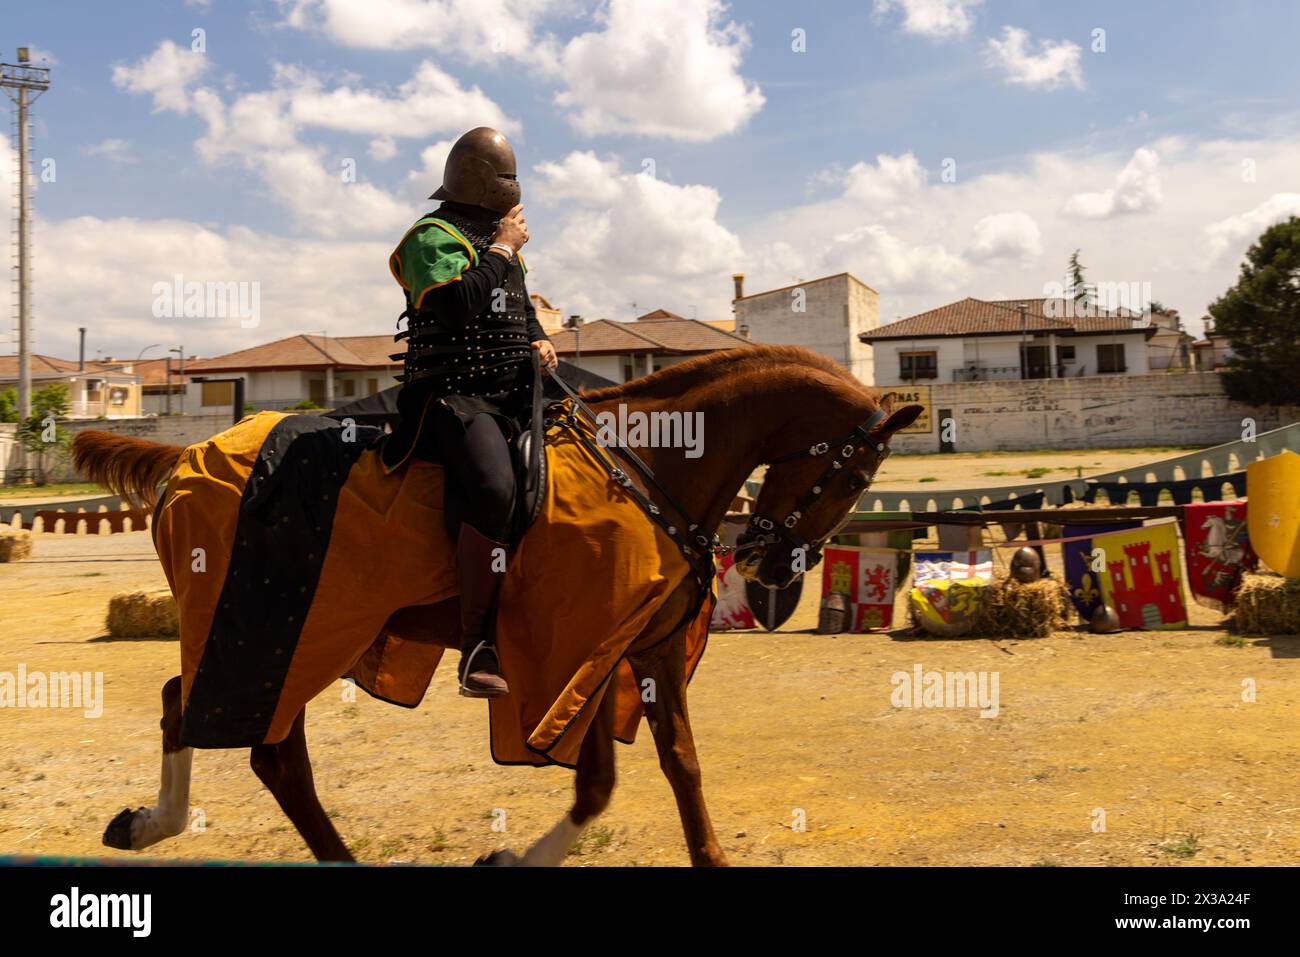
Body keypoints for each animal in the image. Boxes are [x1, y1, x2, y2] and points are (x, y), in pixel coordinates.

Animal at [73, 345, 925, 868]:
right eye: (855, 476)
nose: (770, 565)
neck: (652, 461)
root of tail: (185, 457)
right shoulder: (580, 651)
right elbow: (598, 782)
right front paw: (516, 853)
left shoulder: (636, 649)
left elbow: (679, 765)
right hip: (285, 631)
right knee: (255, 740)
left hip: (276, 635)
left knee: (204, 713)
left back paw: (152, 821)